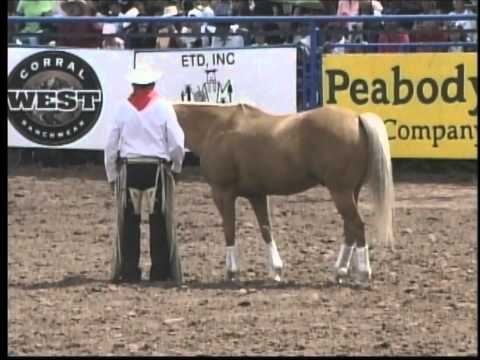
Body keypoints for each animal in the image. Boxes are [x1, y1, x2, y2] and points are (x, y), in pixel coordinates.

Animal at [172, 102, 394, 286]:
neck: (215, 128)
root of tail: (356, 118)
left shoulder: (222, 193)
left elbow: (229, 230)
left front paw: (232, 271)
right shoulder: (256, 195)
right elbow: (266, 229)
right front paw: (276, 270)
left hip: (340, 191)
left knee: (357, 225)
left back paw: (363, 273)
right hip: (350, 192)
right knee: (350, 228)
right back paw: (340, 271)